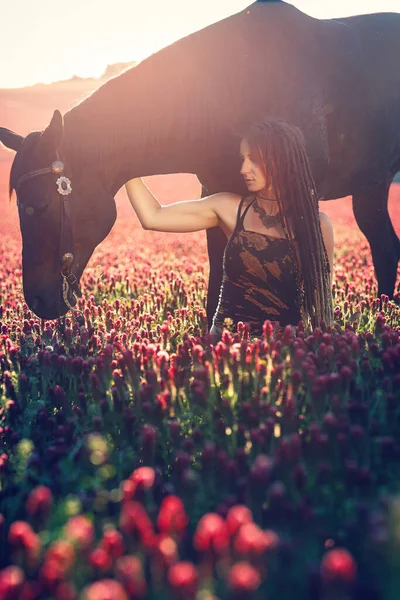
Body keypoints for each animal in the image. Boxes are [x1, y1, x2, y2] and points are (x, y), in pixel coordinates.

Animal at [0, 0, 400, 326]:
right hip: (372, 184)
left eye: (40, 205)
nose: (38, 301)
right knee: (385, 245)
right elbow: (217, 287)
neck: (234, 86)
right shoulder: (217, 194)